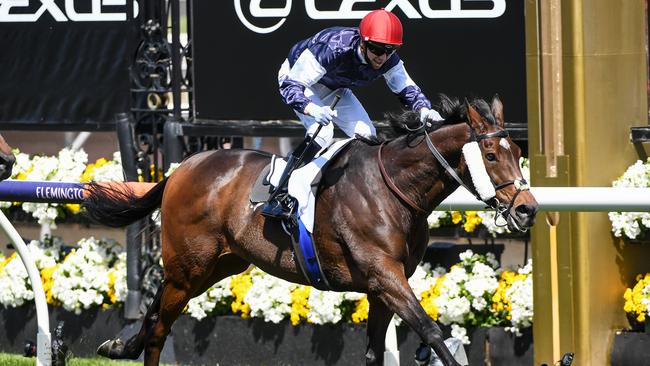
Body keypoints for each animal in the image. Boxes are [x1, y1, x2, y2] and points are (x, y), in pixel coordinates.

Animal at [82, 96, 536, 366]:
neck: (393, 189)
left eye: (518, 151)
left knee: (159, 303)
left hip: (216, 265)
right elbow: (431, 330)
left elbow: (374, 351)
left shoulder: (382, 287)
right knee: (160, 327)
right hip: (190, 265)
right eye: (491, 154)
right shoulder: (385, 276)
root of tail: (180, 170)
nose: (527, 209)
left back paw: (120, 345)